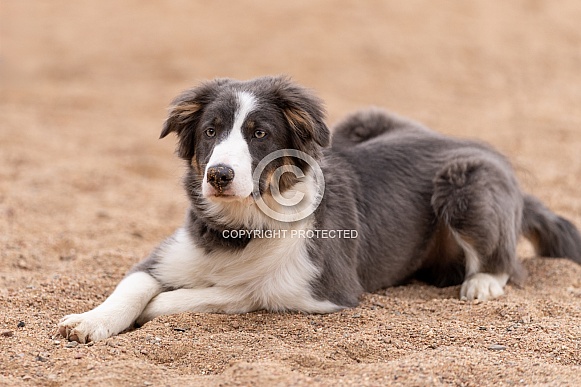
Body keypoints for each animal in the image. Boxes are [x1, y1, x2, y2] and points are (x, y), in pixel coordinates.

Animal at [59, 75, 580, 342]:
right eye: (210, 130)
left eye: (260, 133)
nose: (219, 175)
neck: (239, 228)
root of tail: (479, 145)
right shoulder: (167, 253)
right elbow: (133, 284)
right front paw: (90, 321)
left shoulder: (320, 287)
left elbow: (231, 292)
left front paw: (161, 306)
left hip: (467, 184)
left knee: (504, 261)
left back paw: (482, 283)